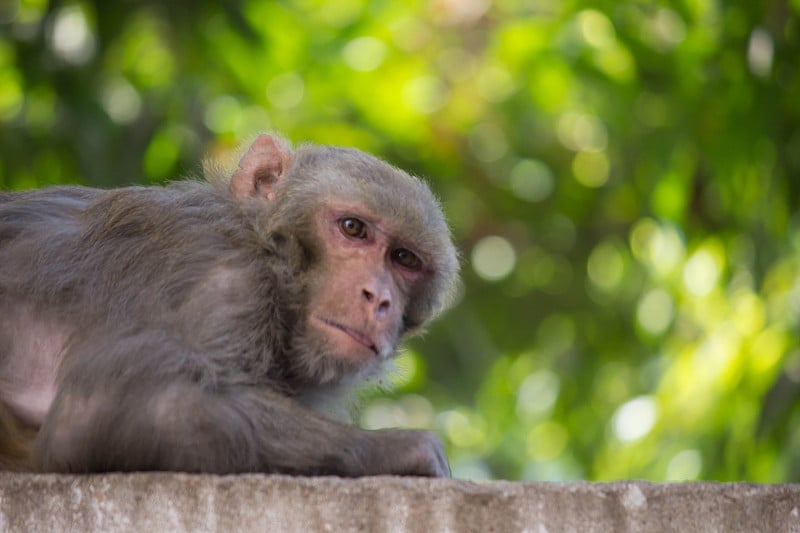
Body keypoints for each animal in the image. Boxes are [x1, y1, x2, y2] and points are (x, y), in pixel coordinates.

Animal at [0, 135, 460, 476]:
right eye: (353, 228)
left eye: (404, 259)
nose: (379, 297)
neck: (270, 253)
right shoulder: (220, 280)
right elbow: (103, 409)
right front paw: (400, 448)